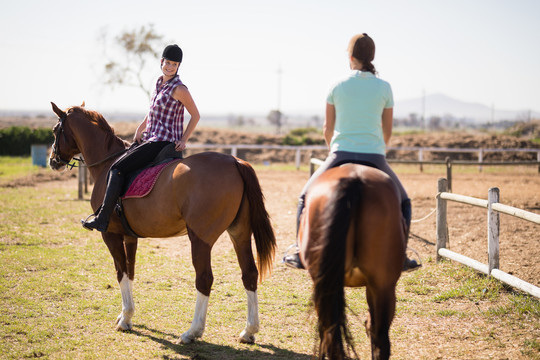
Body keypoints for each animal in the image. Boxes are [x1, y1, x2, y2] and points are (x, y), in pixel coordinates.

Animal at [48, 102, 276, 344]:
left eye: (55, 130)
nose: (52, 160)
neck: (108, 163)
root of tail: (234, 161)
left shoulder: (110, 234)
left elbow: (121, 272)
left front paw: (125, 318)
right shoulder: (130, 236)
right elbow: (130, 271)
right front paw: (126, 316)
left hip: (200, 239)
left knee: (204, 279)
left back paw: (192, 332)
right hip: (239, 233)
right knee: (249, 273)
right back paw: (249, 331)